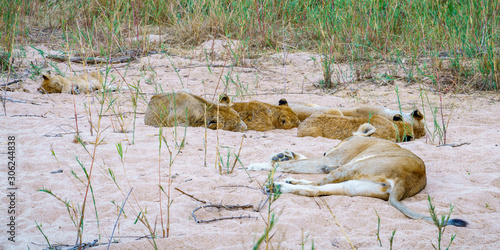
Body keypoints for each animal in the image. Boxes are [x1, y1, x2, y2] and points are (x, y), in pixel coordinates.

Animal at [246, 123, 468, 227]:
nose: (326, 150)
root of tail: (405, 182)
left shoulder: (331, 161)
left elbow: (292, 164)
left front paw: (256, 164)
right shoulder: (330, 163)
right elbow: (298, 160)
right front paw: (283, 155)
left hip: (349, 169)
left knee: (315, 185)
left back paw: (277, 185)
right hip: (352, 185)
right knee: (315, 190)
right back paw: (279, 186)